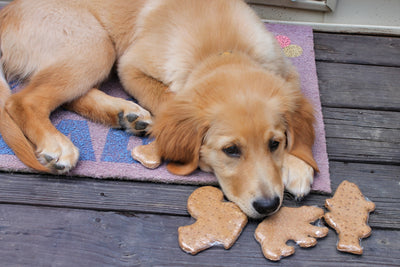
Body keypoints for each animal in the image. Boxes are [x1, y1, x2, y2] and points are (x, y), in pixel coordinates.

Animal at [0, 0, 318, 220]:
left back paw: (126, 115)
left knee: (68, 97)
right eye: (231, 150)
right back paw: (58, 144)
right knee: (24, 100)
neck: (223, 49)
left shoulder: (286, 71)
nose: (268, 206)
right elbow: (169, 101)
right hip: (95, 43)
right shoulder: (129, 66)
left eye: (275, 144)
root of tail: (5, 13)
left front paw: (297, 164)